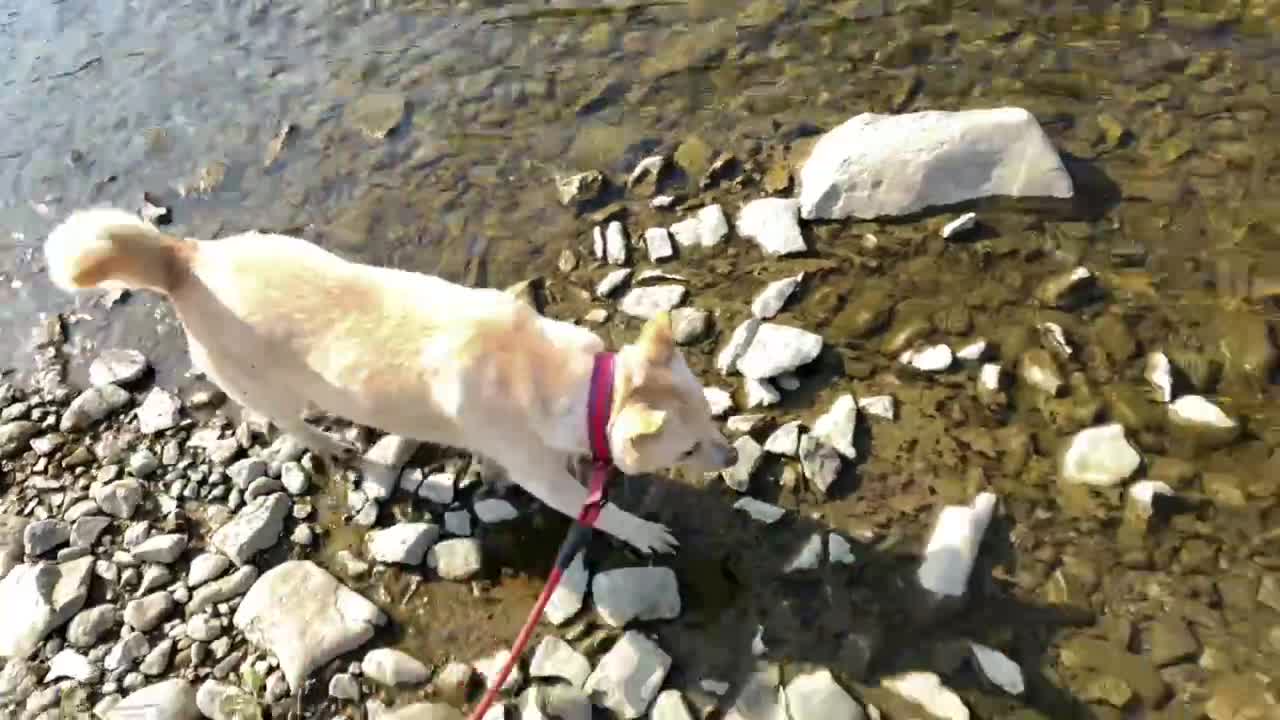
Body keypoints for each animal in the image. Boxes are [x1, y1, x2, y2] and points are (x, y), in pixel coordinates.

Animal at [45, 207, 737, 548]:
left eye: (711, 419)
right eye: (689, 449)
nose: (731, 457)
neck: (577, 383)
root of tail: (184, 258)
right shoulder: (545, 479)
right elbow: (597, 511)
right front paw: (644, 533)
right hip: (266, 386)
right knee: (291, 424)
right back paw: (334, 443)